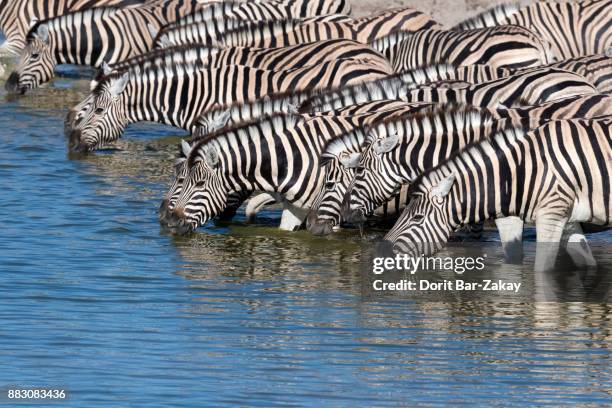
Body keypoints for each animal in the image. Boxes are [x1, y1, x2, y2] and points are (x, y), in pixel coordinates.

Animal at [382, 118, 612, 270]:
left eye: (418, 218)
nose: (381, 252)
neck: (520, 172)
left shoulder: (551, 215)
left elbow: (540, 269)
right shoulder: (568, 218)